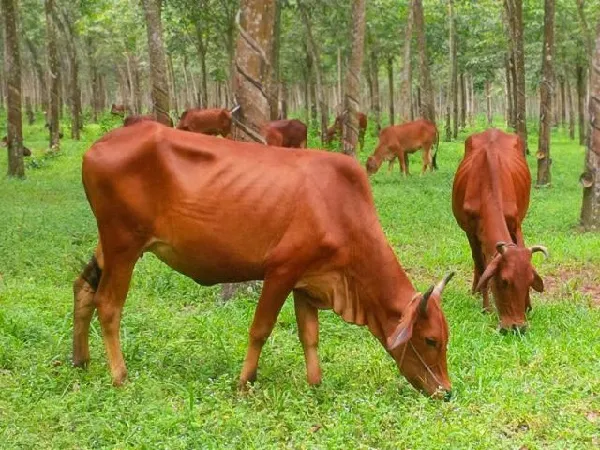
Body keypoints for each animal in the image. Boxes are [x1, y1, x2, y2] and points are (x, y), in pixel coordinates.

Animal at [71, 121, 454, 400]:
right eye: (431, 340)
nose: (446, 392)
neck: (341, 210)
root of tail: (96, 147)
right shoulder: (281, 271)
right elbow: (260, 329)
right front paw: (245, 382)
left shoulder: (308, 281)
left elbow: (310, 335)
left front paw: (316, 383)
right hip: (123, 245)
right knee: (108, 305)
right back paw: (119, 376)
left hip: (110, 244)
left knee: (83, 288)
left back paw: (80, 361)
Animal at [452, 128, 548, 332]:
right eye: (504, 281)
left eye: (529, 281)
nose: (517, 327)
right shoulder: (470, 231)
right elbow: (481, 266)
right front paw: (486, 308)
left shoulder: (515, 223)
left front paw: (528, 306)